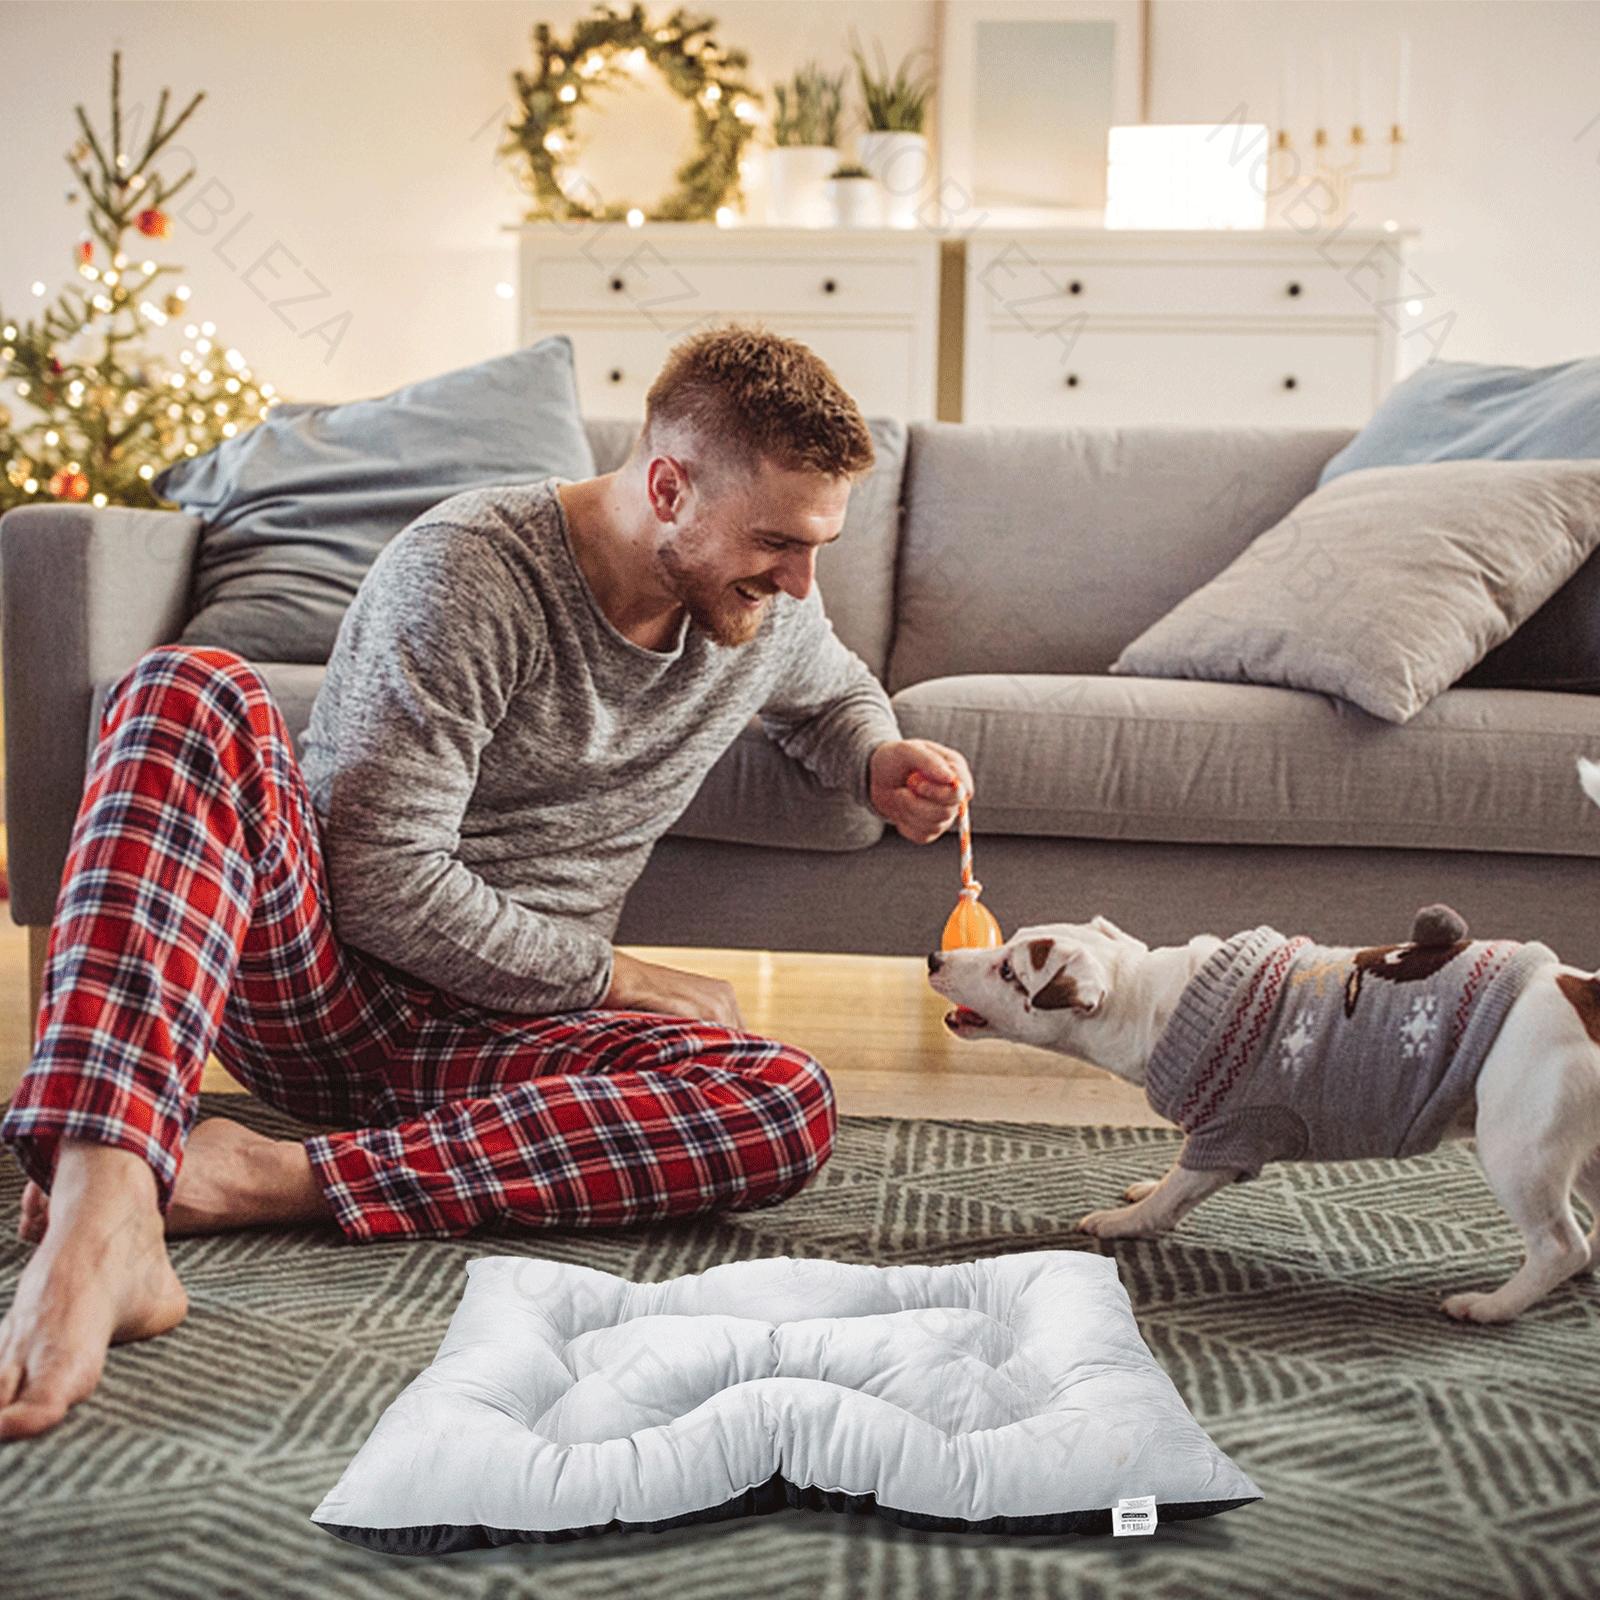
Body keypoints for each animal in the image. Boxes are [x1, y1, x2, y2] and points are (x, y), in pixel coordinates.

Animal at [928, 761, 1600, 1324]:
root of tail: (1584, 991)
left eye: (1009, 972)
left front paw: (1125, 1220)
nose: (935, 958)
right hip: (1584, 1153)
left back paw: (1492, 1305)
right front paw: (1145, 1191)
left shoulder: (1232, 1134)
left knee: (1559, 1245)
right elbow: (1171, 1182)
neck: (1153, 1001)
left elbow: (1174, 1192)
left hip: (1519, 1147)